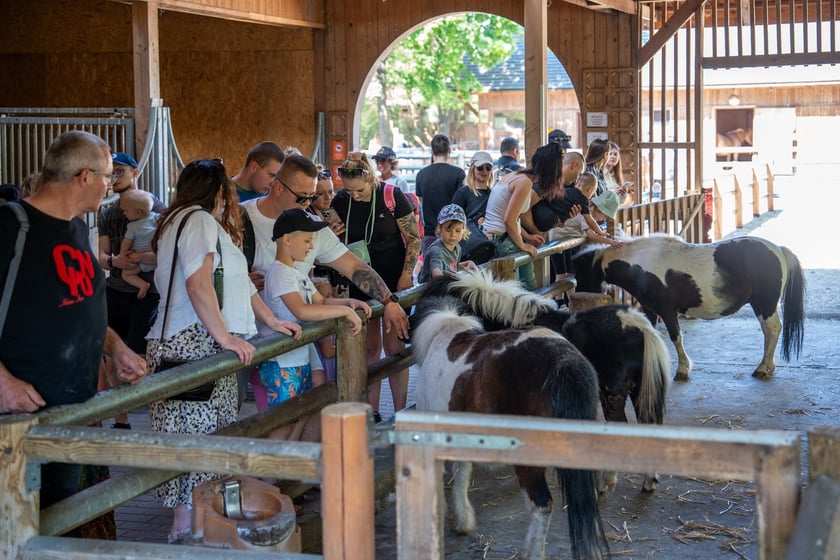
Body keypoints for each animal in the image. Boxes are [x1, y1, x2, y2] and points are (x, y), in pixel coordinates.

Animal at [576, 234, 804, 382]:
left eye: (579, 273)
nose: (575, 296)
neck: (641, 266)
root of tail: (778, 249)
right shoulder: (650, 311)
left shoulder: (667, 311)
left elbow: (676, 338)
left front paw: (682, 370)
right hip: (759, 303)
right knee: (769, 331)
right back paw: (768, 366)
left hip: (766, 303)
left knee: (773, 329)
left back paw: (763, 368)